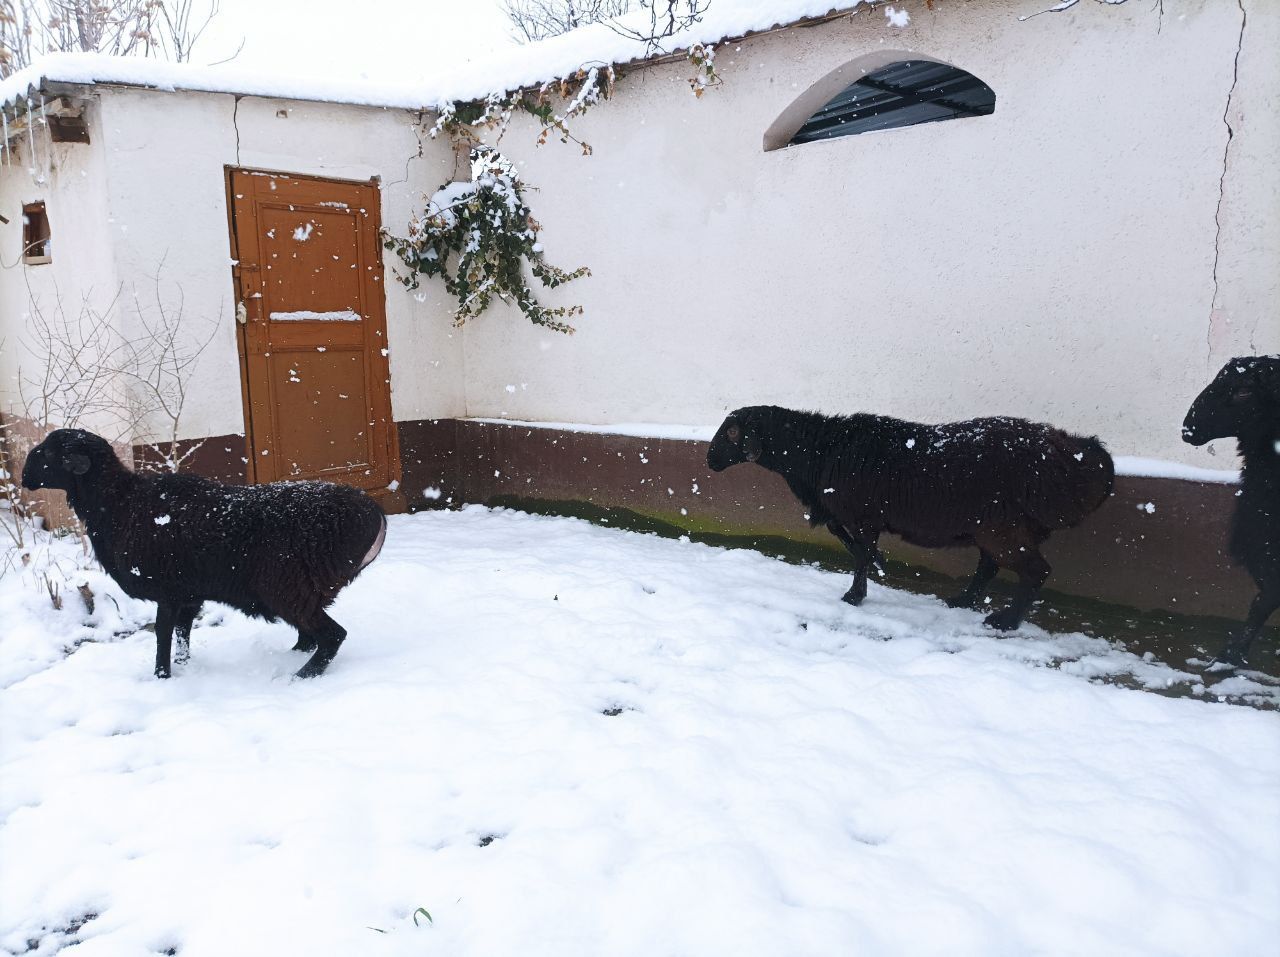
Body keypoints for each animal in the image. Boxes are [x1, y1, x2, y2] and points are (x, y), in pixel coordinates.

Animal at [21, 427, 384, 680]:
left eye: (48, 452)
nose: (24, 476)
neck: (120, 504)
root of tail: (372, 514)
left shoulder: (168, 591)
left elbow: (162, 637)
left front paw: (162, 678)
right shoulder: (189, 594)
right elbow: (182, 635)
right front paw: (182, 666)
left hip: (286, 588)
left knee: (332, 636)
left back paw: (300, 676)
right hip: (299, 591)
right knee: (310, 637)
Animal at [706, 406, 1116, 632]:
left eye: (731, 432)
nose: (709, 460)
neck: (819, 450)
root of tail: (1072, 457)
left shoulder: (863, 515)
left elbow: (859, 554)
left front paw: (856, 594)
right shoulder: (851, 516)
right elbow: (848, 541)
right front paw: (876, 567)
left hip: (1002, 527)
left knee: (1035, 570)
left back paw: (1005, 621)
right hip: (996, 524)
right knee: (990, 566)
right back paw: (963, 601)